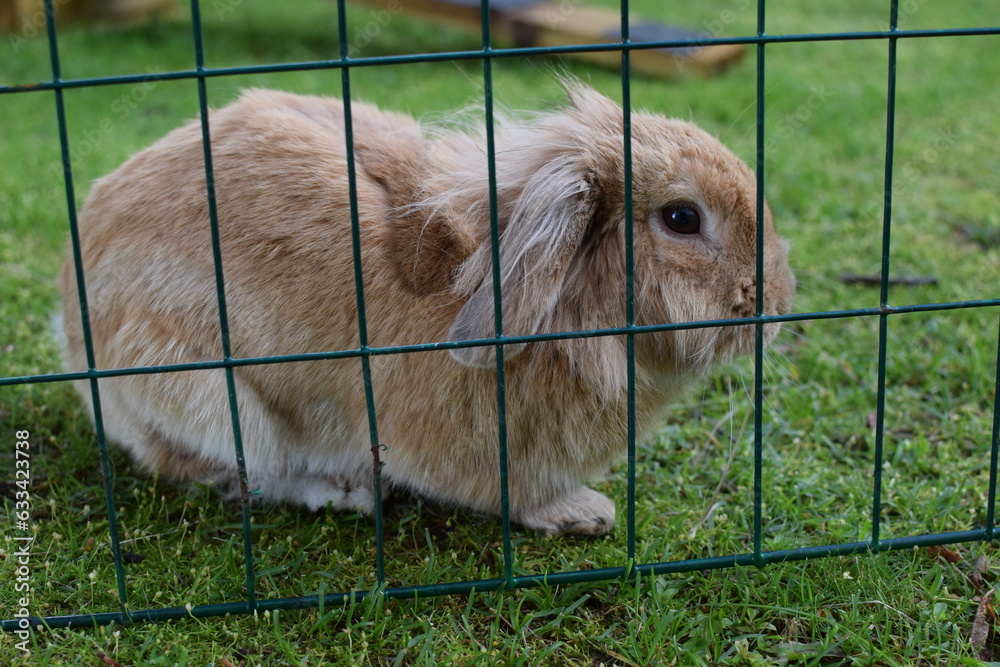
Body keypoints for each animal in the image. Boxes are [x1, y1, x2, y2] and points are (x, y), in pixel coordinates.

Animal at [58, 82, 794, 537]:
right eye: (682, 218)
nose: (776, 300)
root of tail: (71, 323)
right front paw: (582, 513)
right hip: (216, 400)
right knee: (220, 471)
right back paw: (346, 491)